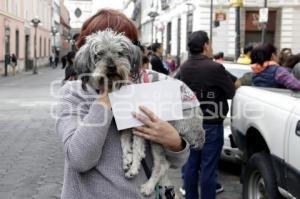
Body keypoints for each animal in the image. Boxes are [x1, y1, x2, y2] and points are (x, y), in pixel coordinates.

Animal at [74, 29, 205, 196]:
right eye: (99, 54)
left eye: (119, 53)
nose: (111, 67)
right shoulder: (124, 125)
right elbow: (124, 142)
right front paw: (126, 160)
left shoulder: (140, 125)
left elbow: (137, 148)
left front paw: (134, 167)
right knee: (163, 164)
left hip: (161, 133)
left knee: (161, 164)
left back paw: (148, 187)